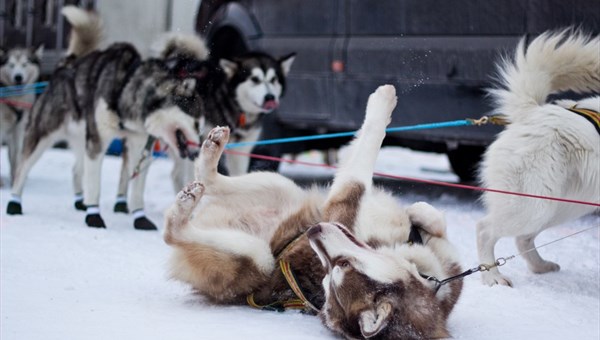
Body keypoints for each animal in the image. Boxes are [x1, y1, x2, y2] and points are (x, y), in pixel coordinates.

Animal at [0, 45, 43, 186]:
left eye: (25, 64)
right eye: (11, 65)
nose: (18, 77)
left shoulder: (18, 129)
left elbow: (16, 155)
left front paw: (15, 179)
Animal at [5, 5, 202, 231]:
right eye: (196, 123)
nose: (199, 151)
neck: (126, 90)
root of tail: (66, 64)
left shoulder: (138, 146)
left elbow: (136, 190)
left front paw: (139, 217)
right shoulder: (98, 142)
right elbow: (95, 186)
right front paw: (94, 217)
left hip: (82, 140)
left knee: (76, 170)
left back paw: (80, 201)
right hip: (43, 136)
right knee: (22, 169)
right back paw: (14, 203)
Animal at [164, 84, 464, 338]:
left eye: (338, 269)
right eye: (331, 271)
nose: (314, 230)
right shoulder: (343, 203)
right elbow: (370, 154)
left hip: (258, 253)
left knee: (175, 230)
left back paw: (185, 204)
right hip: (276, 188)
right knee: (208, 182)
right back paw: (210, 154)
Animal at [478, 29, 600, 286]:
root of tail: (532, 111)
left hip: (562, 205)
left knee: (522, 239)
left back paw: (540, 267)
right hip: (533, 205)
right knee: (485, 229)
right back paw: (493, 277)